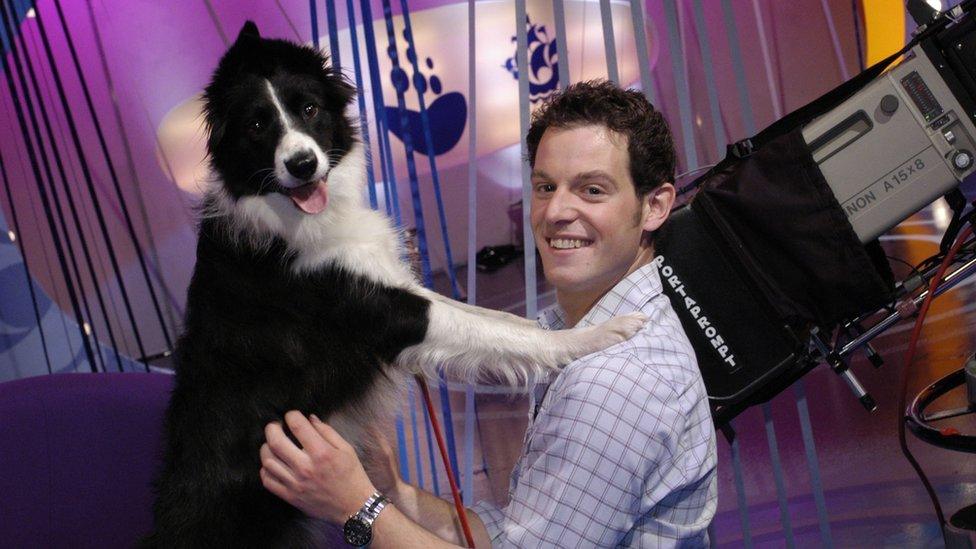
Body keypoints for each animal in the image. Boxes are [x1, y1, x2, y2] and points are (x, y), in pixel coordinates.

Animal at [145, 22, 644, 548]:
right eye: (257, 126)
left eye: (309, 109)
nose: (302, 164)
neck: (285, 215)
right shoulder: (391, 311)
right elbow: (501, 333)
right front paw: (594, 335)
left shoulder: (403, 290)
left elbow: (497, 318)